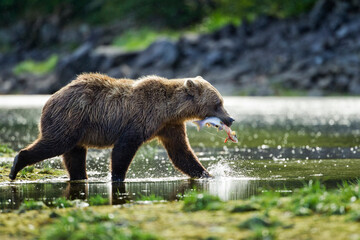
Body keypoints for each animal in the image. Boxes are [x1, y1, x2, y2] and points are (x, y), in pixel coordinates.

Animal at [8, 74, 235, 181]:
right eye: (218, 103)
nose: (230, 119)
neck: (168, 110)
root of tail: (50, 98)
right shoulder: (140, 119)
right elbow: (123, 149)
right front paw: (117, 176)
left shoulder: (169, 126)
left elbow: (181, 153)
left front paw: (208, 174)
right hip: (70, 119)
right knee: (55, 143)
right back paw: (17, 163)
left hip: (78, 128)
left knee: (75, 156)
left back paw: (80, 176)